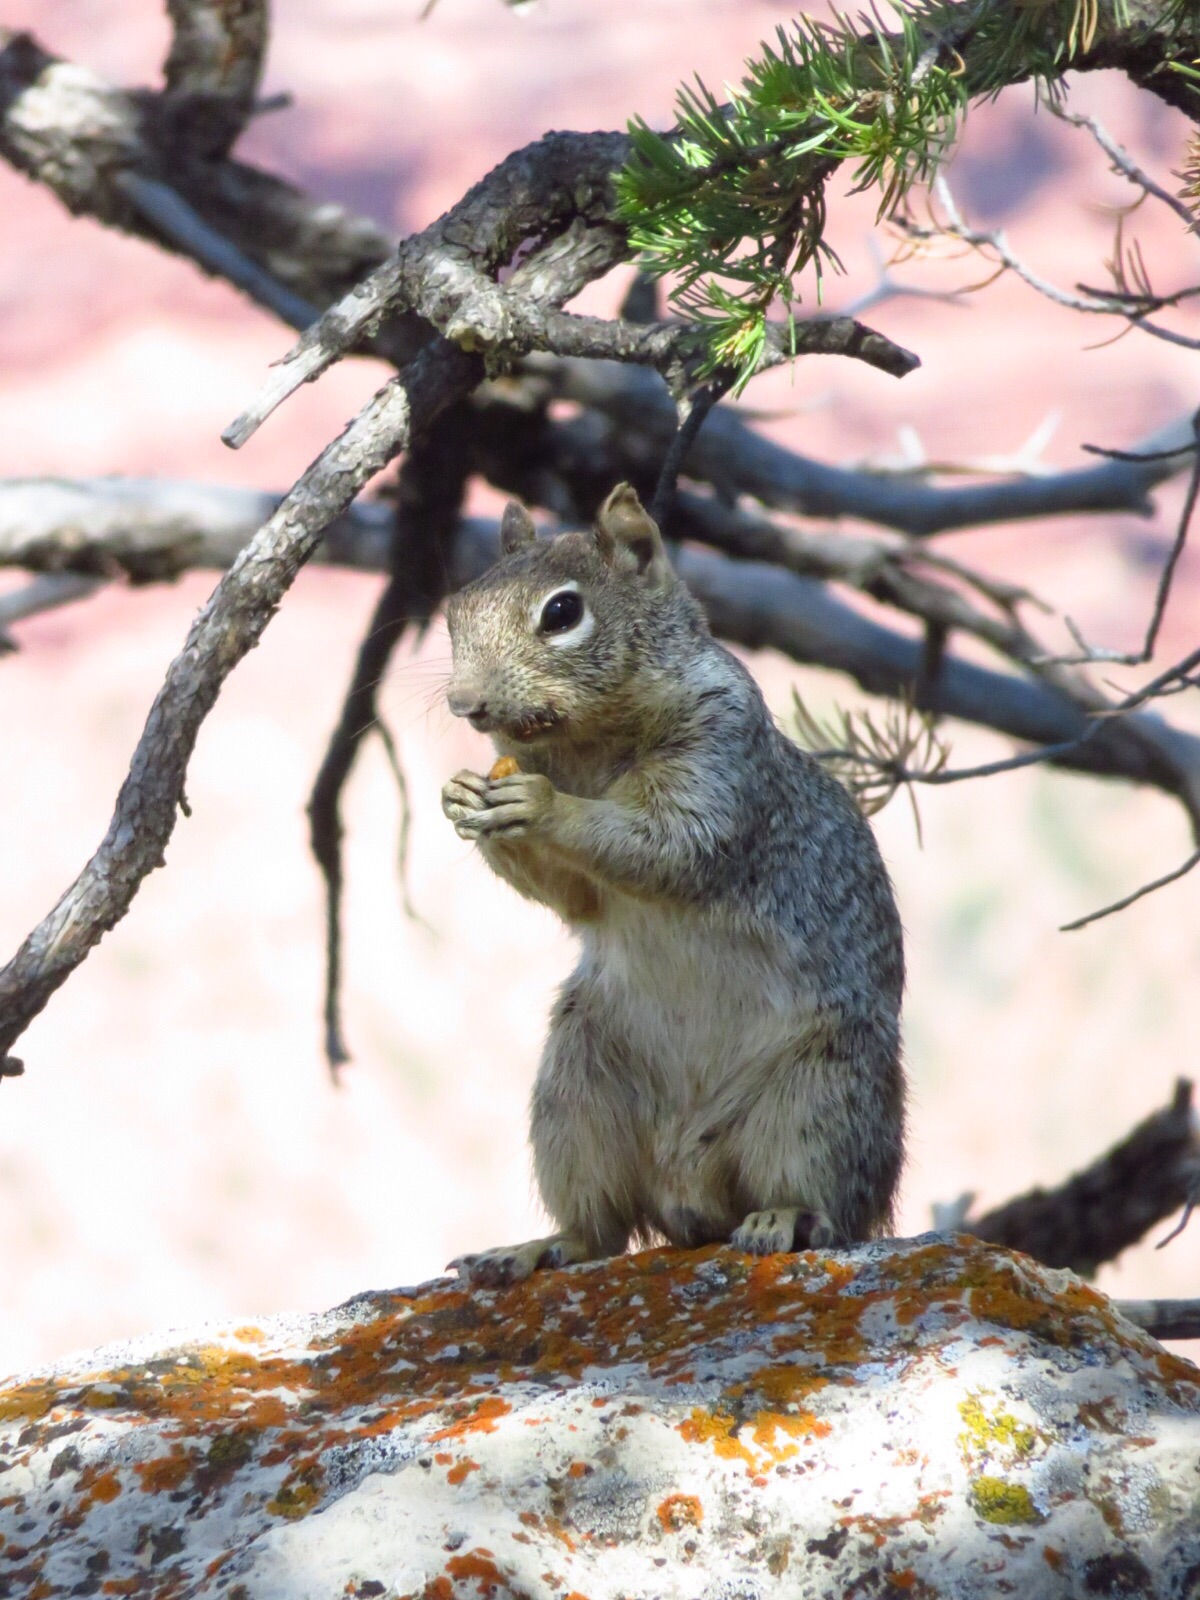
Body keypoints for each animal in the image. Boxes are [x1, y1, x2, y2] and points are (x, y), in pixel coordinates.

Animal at [448, 480, 908, 1280]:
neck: (586, 744)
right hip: (577, 1090)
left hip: (821, 1096)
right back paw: (539, 1247)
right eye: (455, 608)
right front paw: (463, 800)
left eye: (561, 612)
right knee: (600, 1226)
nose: (463, 702)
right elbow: (576, 894)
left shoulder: (717, 753)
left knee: (825, 1202)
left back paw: (783, 1219)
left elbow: (669, 844)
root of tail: (692, 1194)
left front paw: (544, 807)